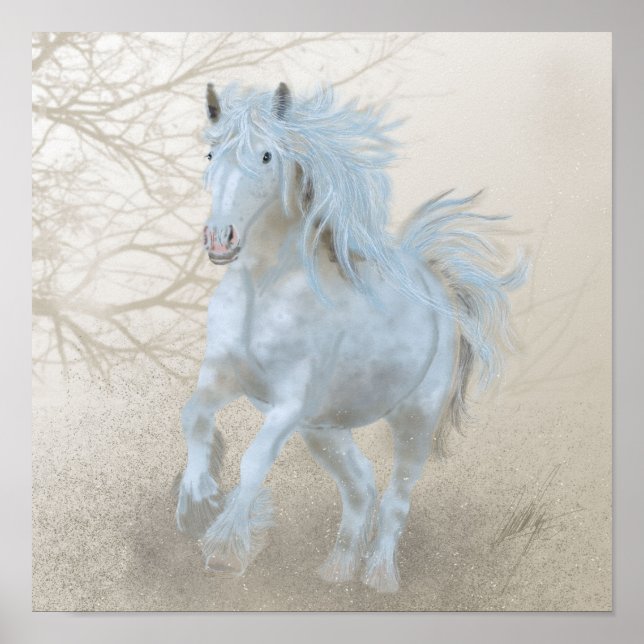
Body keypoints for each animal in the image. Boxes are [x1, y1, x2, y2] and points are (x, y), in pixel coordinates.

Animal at [174, 81, 526, 593]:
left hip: (413, 422)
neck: (262, 290)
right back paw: (338, 571)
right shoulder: (223, 377)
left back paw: (379, 578)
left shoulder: (288, 404)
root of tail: (434, 281)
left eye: (266, 156)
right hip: (325, 430)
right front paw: (197, 501)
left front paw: (225, 550)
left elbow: (254, 461)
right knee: (359, 487)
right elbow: (194, 418)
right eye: (210, 153)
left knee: (396, 497)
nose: (221, 239)